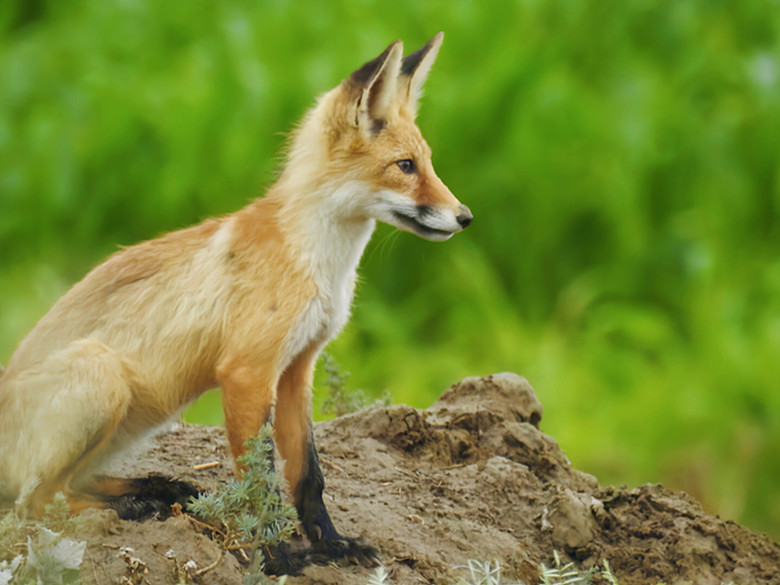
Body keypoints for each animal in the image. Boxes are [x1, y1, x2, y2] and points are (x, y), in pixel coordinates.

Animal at [0, 34, 470, 568]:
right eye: (405, 166)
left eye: (428, 163)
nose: (465, 216)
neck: (317, 262)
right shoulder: (247, 373)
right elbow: (260, 481)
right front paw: (276, 558)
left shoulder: (297, 368)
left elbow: (308, 475)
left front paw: (331, 545)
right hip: (101, 375)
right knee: (39, 502)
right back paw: (134, 505)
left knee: (75, 485)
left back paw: (157, 490)